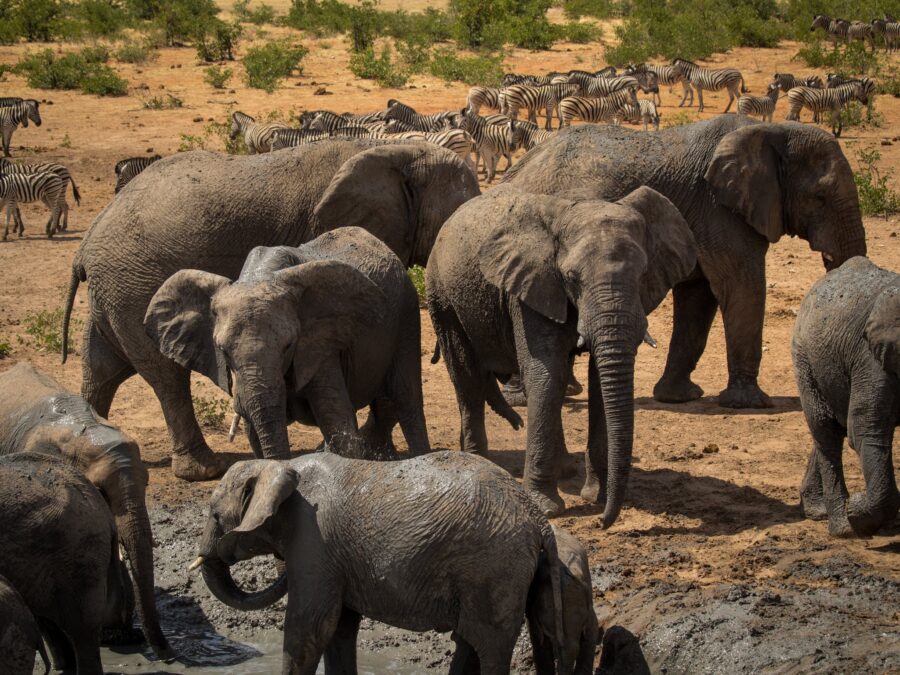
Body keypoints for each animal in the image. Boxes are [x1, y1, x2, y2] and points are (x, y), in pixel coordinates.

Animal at [144, 228, 429, 461]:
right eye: (223, 351)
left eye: (288, 346)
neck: (261, 275)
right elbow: (255, 431)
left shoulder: (320, 343)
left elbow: (337, 421)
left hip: (406, 313)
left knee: (405, 397)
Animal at [192, 451, 566, 675]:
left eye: (215, 515)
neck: (280, 465)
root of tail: (537, 516)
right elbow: (339, 627)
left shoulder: (314, 542)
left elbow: (310, 625)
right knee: (474, 641)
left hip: (494, 568)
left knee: (488, 646)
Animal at [426, 185, 697, 519]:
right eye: (571, 277)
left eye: (643, 273)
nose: (604, 521)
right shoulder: (530, 286)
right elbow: (547, 377)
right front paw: (547, 508)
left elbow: (598, 384)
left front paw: (597, 496)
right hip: (442, 293)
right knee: (467, 378)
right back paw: (480, 461)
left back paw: (565, 469)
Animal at [502, 116, 867, 409]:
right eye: (819, 198)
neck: (772, 129)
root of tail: (517, 170)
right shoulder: (720, 211)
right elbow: (742, 287)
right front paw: (750, 404)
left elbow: (699, 299)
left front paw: (680, 397)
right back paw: (527, 397)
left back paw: (562, 390)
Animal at [792, 256, 899, 537]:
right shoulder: (873, 361)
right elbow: (865, 431)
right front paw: (858, 512)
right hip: (804, 356)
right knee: (826, 430)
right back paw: (842, 527)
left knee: (831, 428)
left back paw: (817, 511)